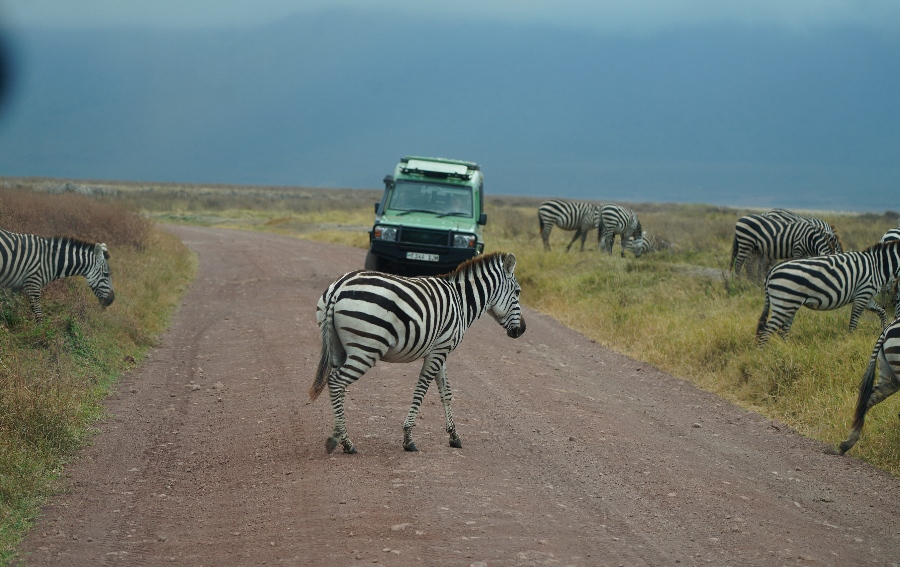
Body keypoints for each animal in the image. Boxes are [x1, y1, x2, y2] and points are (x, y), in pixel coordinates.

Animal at [310, 251, 526, 454]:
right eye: (517, 292)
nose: (522, 330)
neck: (461, 302)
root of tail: (339, 286)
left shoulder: (440, 349)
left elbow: (446, 392)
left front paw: (454, 436)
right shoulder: (439, 351)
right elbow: (421, 390)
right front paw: (408, 438)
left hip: (338, 347)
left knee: (337, 386)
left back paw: (341, 437)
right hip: (367, 348)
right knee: (336, 382)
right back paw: (343, 441)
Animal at [756, 240, 900, 344]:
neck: (878, 266)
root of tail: (771, 271)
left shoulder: (866, 296)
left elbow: (882, 312)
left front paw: (883, 330)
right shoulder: (863, 293)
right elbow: (854, 321)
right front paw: (850, 340)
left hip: (789, 304)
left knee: (783, 330)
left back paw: (786, 350)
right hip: (784, 304)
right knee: (767, 331)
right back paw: (764, 355)